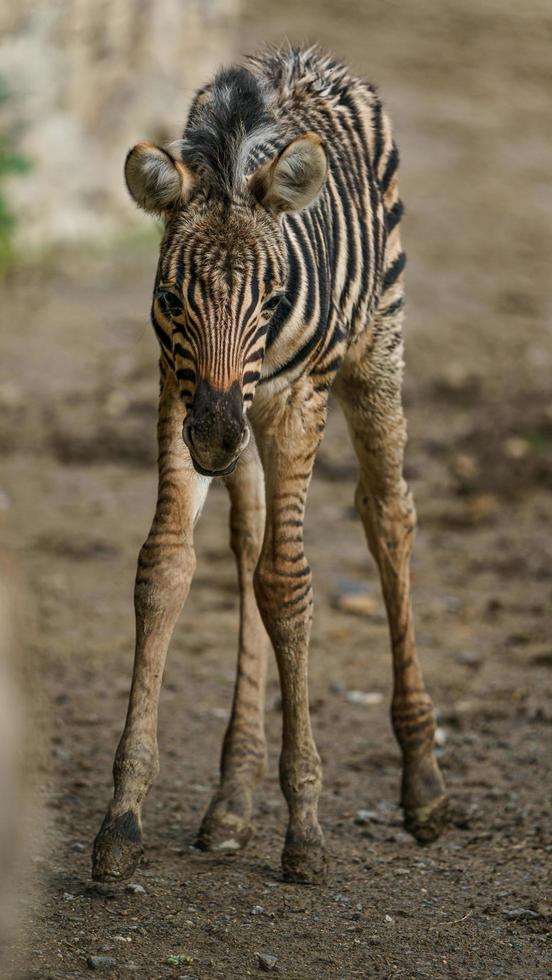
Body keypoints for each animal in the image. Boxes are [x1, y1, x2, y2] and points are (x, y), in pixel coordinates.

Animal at [90, 47, 446, 888]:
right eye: (168, 298)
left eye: (273, 296)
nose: (217, 438)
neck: (229, 157)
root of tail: (307, 58)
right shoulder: (178, 391)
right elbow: (165, 568)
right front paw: (122, 818)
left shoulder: (294, 403)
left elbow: (288, 585)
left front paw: (306, 831)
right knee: (249, 542)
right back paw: (231, 801)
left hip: (375, 353)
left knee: (389, 515)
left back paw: (422, 787)